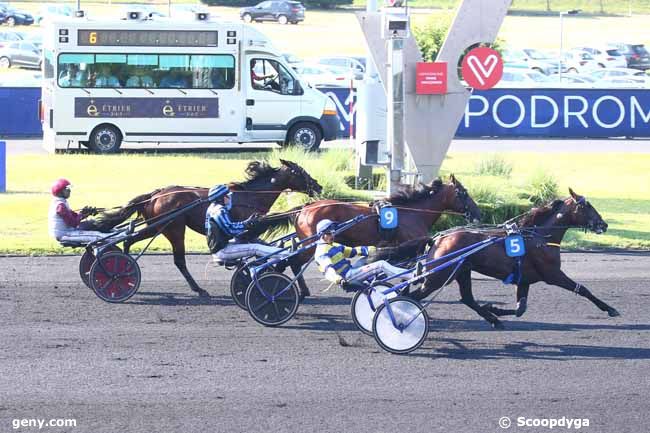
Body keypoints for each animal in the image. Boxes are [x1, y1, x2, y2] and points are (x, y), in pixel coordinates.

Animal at [90, 159, 322, 296]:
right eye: (300, 172)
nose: (318, 185)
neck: (250, 195)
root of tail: (155, 195)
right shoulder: (244, 231)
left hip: (157, 227)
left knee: (129, 239)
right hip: (173, 228)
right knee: (178, 260)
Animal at [416, 188, 616, 328]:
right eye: (586, 206)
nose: (603, 224)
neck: (539, 237)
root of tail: (439, 238)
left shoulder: (524, 279)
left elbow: (521, 309)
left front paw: (494, 308)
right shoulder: (552, 275)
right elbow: (582, 289)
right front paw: (610, 309)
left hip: (462, 271)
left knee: (467, 298)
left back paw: (493, 319)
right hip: (439, 276)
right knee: (414, 295)